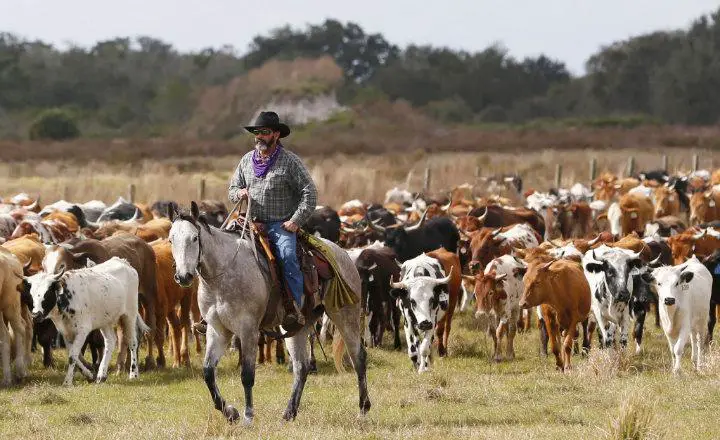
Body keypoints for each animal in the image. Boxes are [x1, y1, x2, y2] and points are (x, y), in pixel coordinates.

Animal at [169, 202, 372, 422]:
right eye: (171, 239)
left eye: (194, 238)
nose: (183, 276)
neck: (223, 274)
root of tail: (343, 254)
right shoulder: (218, 330)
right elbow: (208, 372)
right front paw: (230, 412)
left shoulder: (248, 330)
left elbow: (247, 375)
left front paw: (248, 416)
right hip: (296, 326)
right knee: (301, 366)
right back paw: (289, 413)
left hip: (345, 315)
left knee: (358, 357)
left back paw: (363, 409)